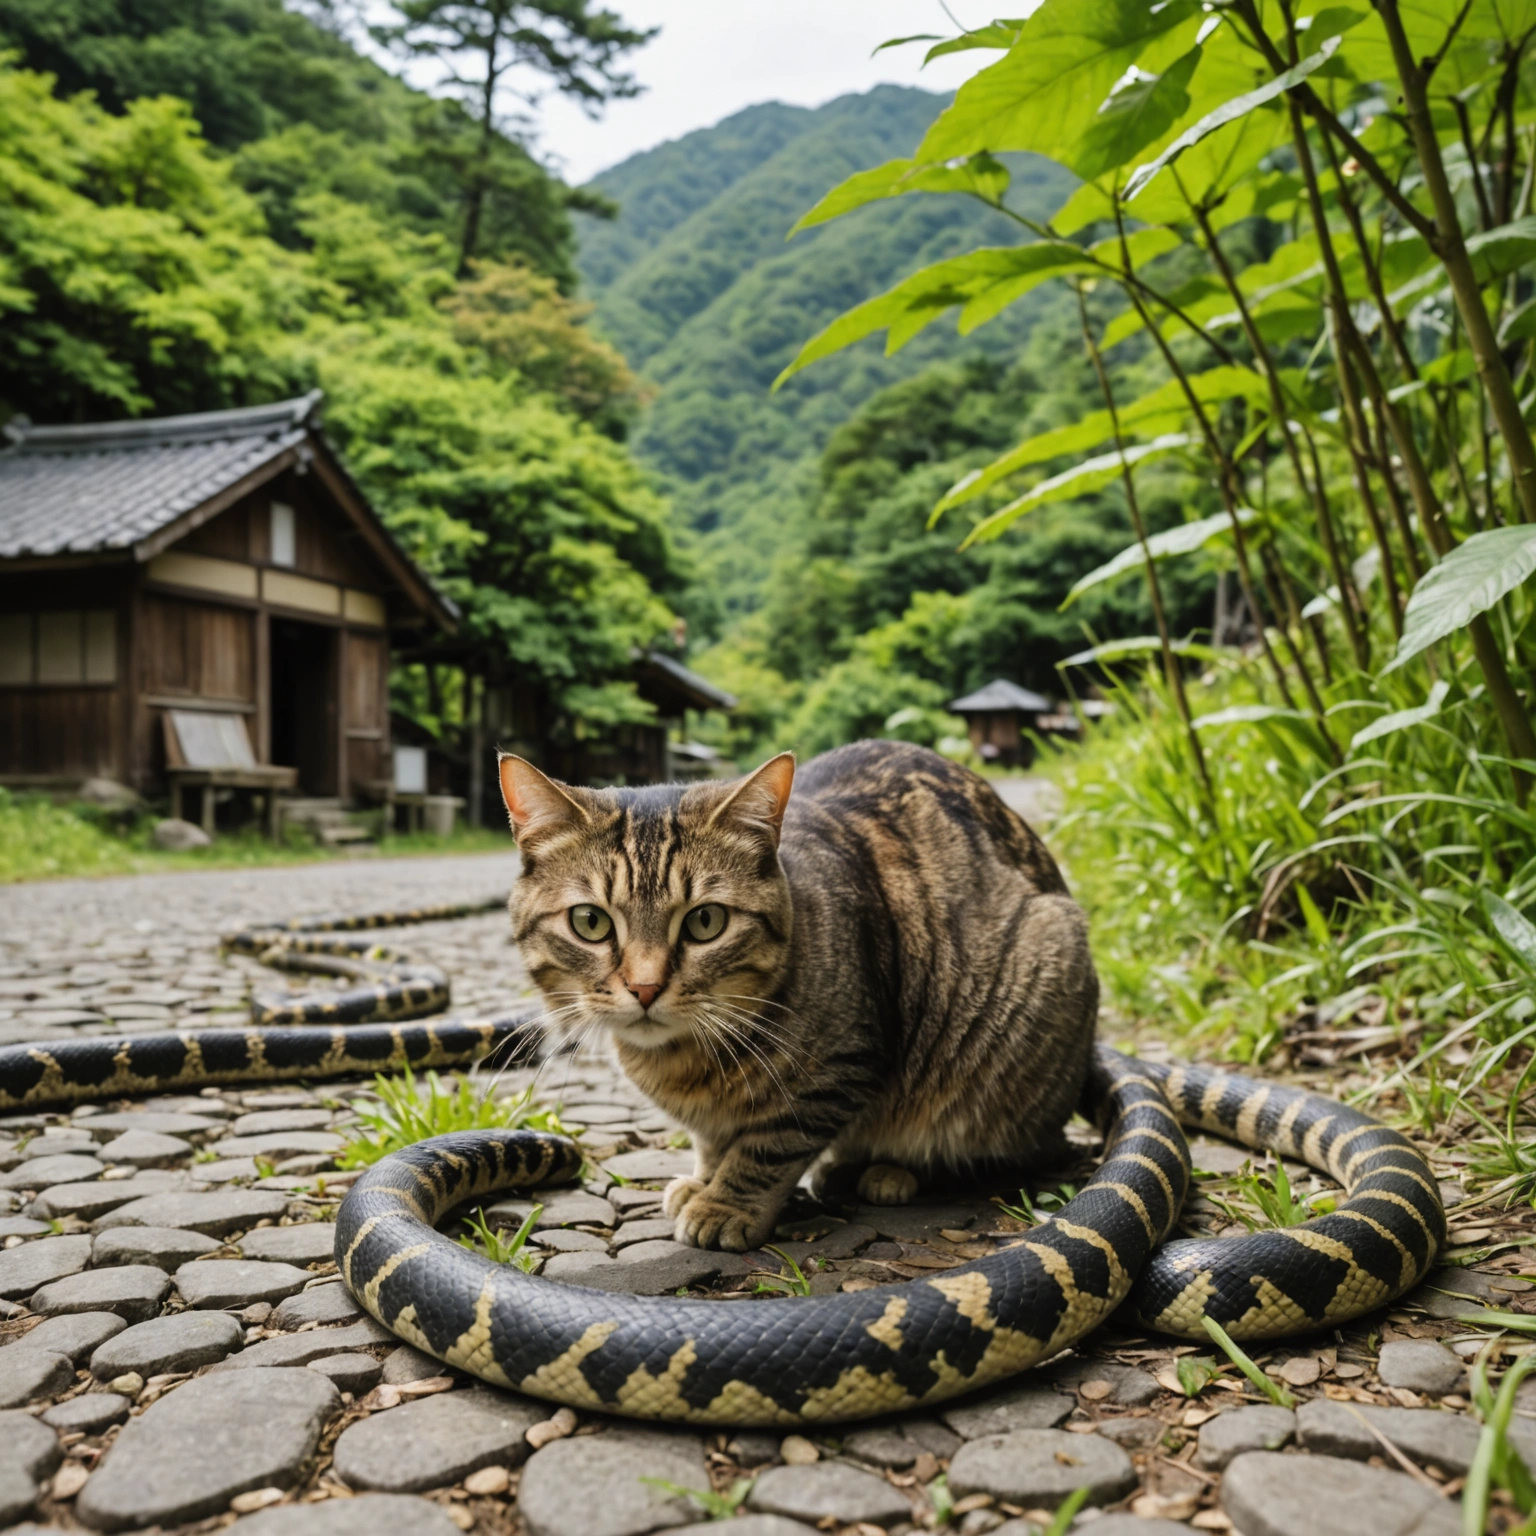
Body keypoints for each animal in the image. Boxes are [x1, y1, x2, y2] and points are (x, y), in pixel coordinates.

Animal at [500, 737, 1093, 1253]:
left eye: (705, 922)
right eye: (591, 922)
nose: (645, 986)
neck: (685, 1062)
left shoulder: (838, 1068)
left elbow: (768, 1147)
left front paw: (726, 1204)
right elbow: (713, 1140)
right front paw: (704, 1180)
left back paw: (885, 1171)